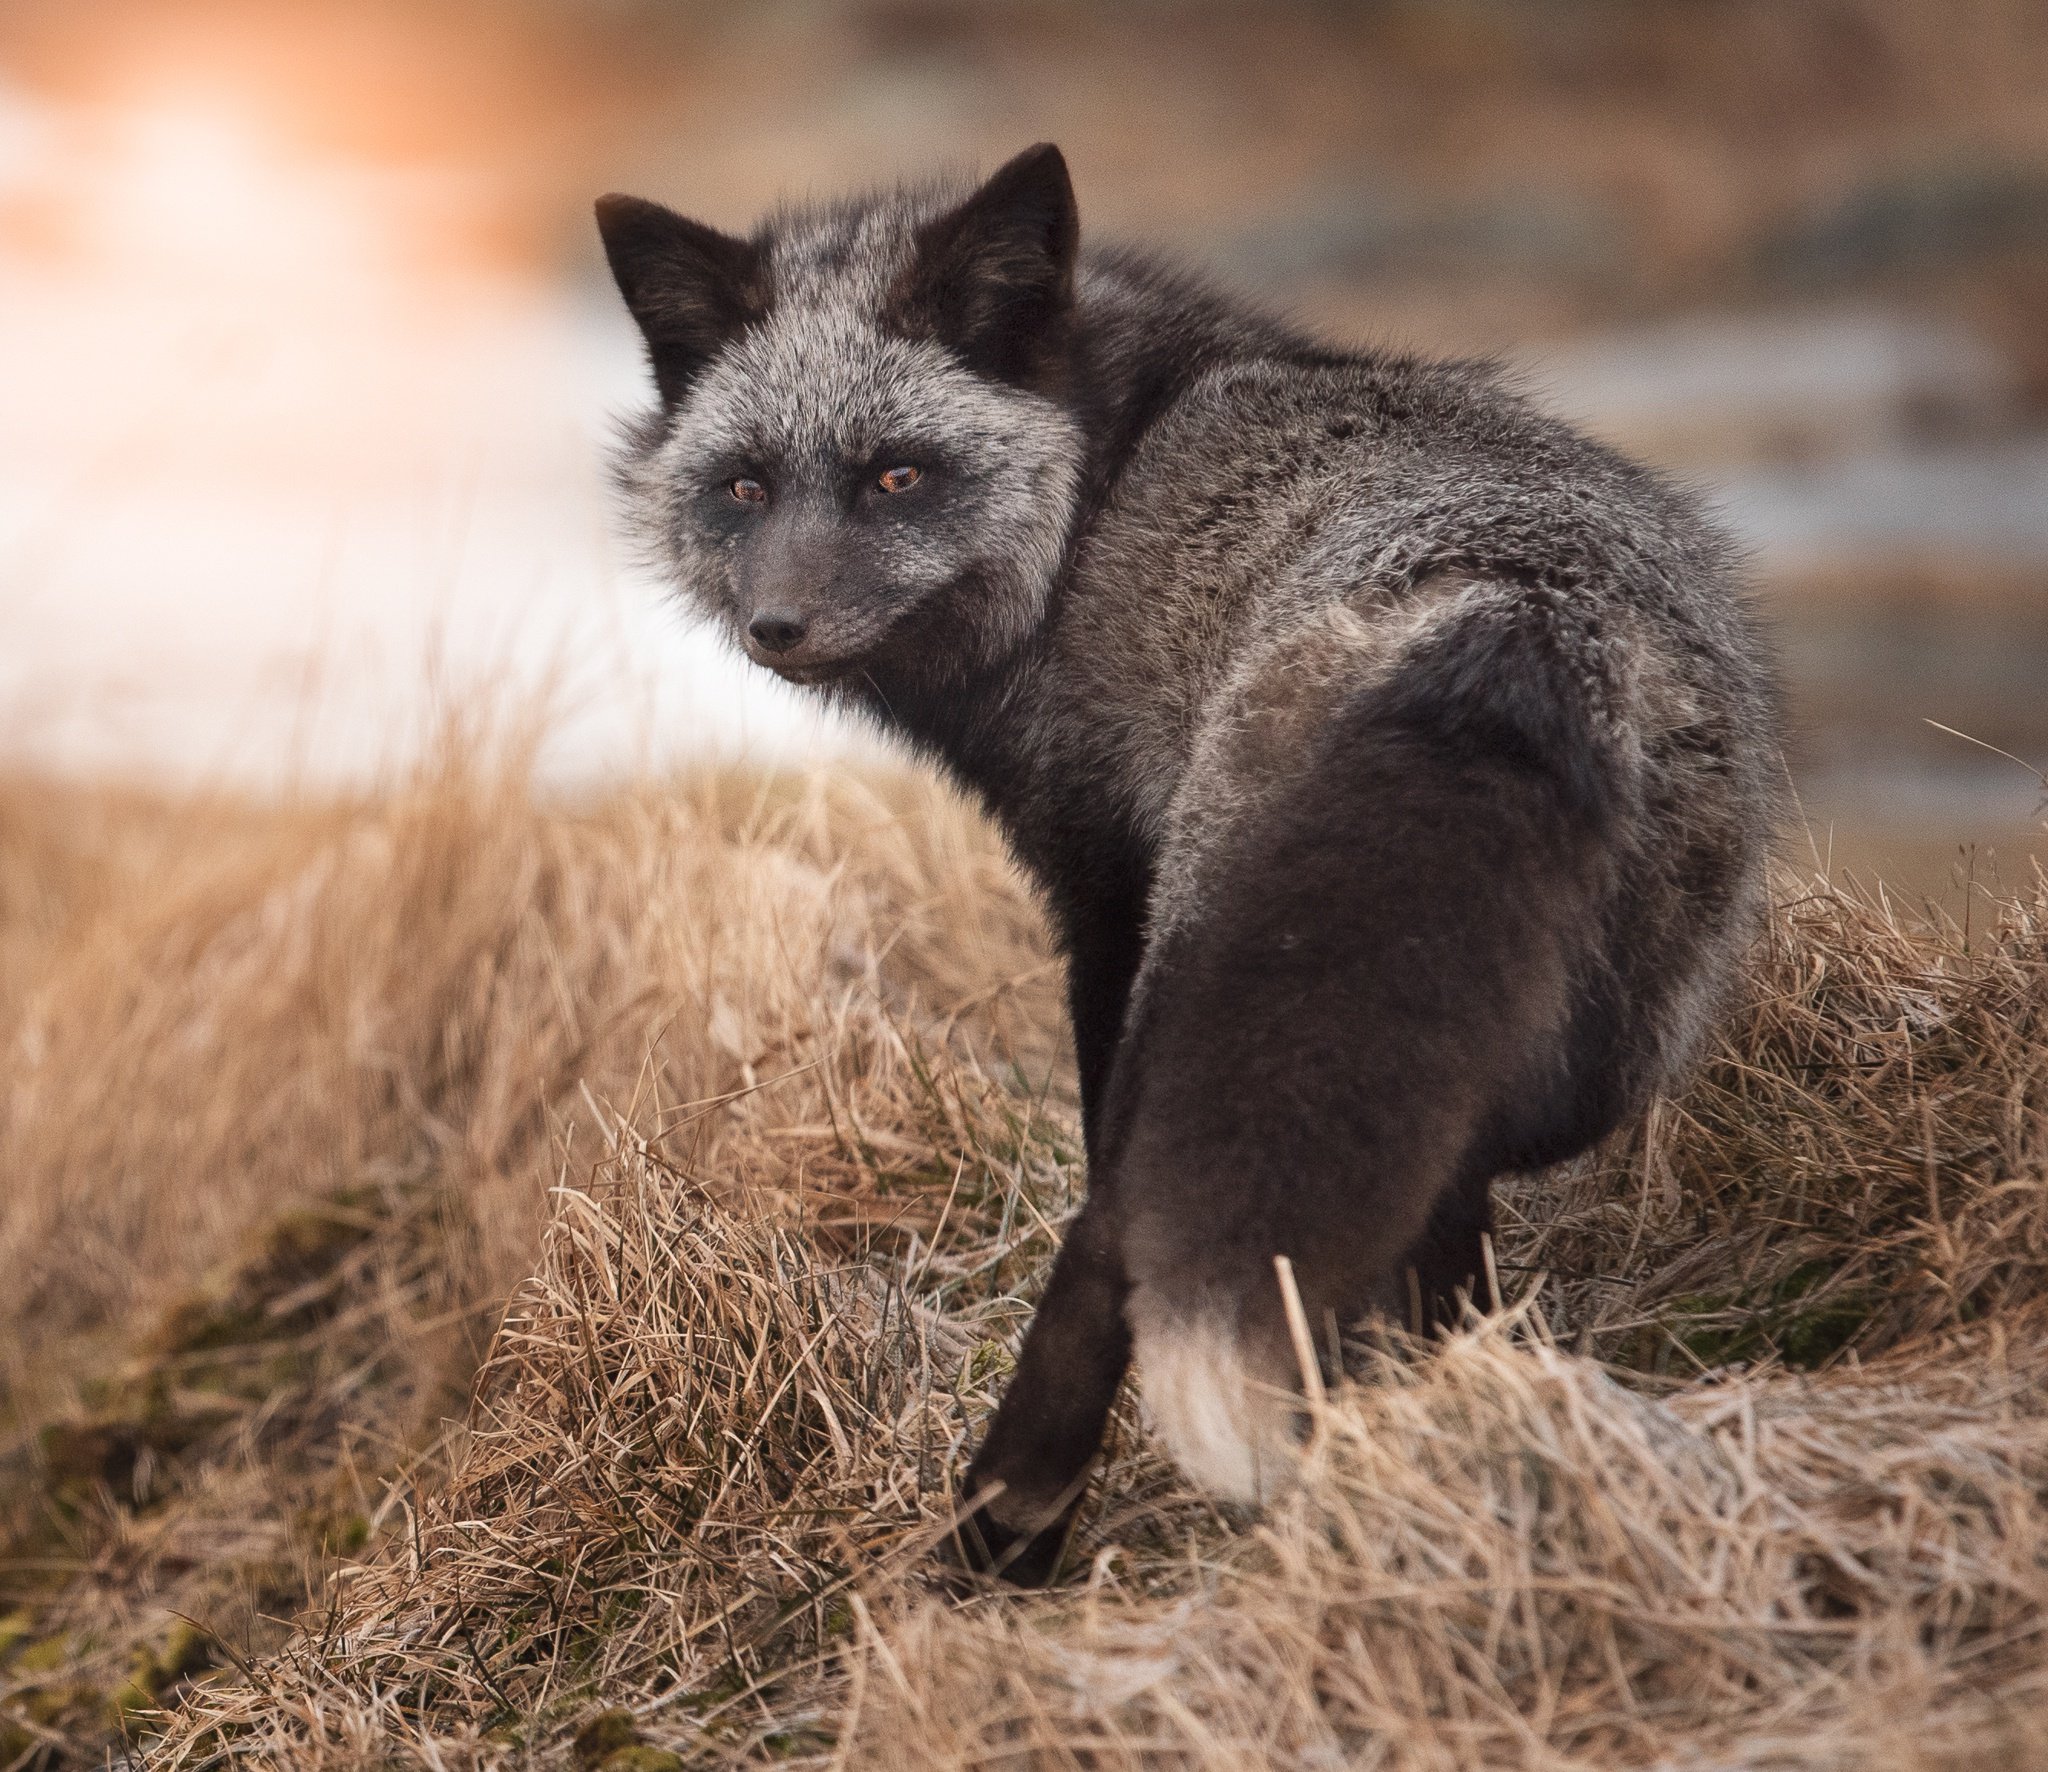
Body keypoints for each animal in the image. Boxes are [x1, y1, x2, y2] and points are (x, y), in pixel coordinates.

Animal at [593, 145, 1777, 1581]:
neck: (1094, 501)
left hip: (1210, 976)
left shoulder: (1106, 888)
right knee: (1447, 1193)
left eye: (898, 478)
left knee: (1119, 1225)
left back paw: (1001, 1537)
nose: (780, 625)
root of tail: (1512, 616)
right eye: (745, 487)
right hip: (1590, 1039)